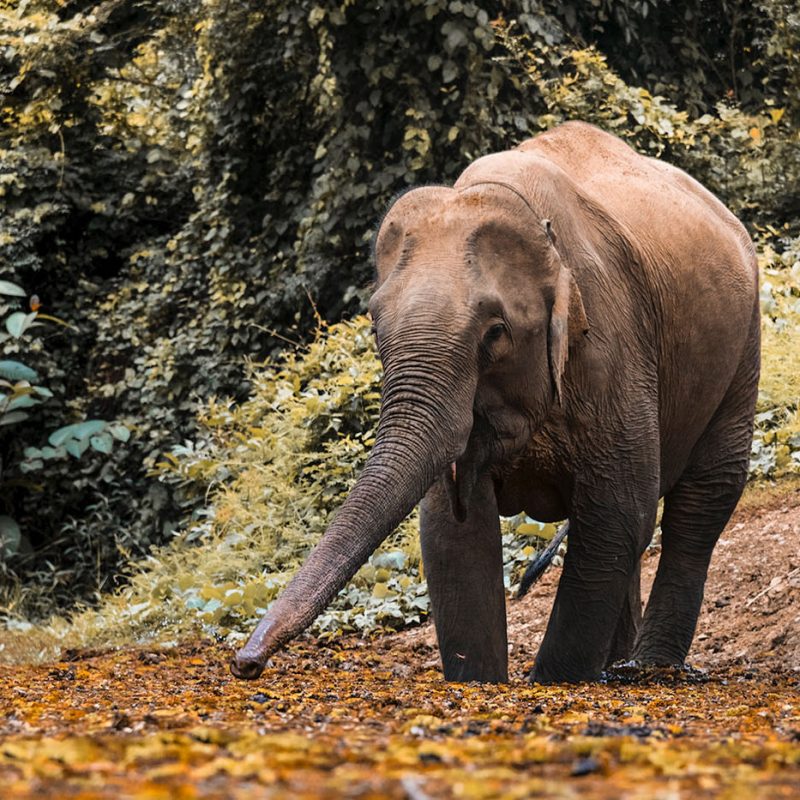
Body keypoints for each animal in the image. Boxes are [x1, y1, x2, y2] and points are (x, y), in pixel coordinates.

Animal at [230, 122, 756, 684]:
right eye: (374, 326)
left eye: (495, 333)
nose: (246, 663)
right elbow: (453, 532)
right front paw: (480, 680)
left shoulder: (612, 348)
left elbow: (616, 516)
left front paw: (552, 681)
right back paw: (617, 667)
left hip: (743, 349)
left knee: (704, 498)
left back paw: (648, 669)